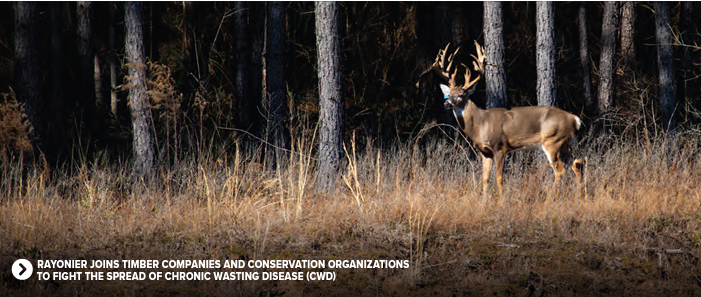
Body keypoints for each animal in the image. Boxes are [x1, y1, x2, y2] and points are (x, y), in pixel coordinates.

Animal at [430, 41, 584, 198]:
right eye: (449, 94)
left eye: (461, 95)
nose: (446, 103)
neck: (480, 126)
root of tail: (575, 119)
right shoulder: (485, 152)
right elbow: (485, 178)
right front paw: (484, 201)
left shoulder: (500, 147)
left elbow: (499, 177)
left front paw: (502, 200)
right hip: (564, 144)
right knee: (577, 164)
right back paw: (578, 196)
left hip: (552, 141)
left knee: (560, 171)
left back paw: (550, 199)